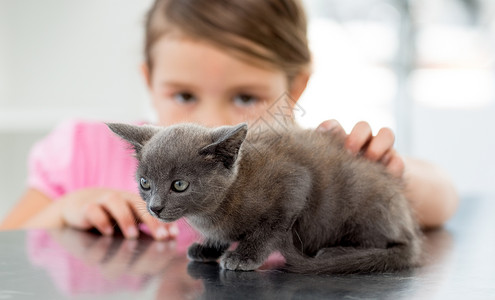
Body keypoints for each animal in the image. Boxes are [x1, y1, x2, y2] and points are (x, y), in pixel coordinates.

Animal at [107, 122, 422, 274]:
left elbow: (269, 229)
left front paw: (243, 256)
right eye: (145, 183)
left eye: (180, 185)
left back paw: (337, 253)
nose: (155, 208)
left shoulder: (294, 184)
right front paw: (209, 247)